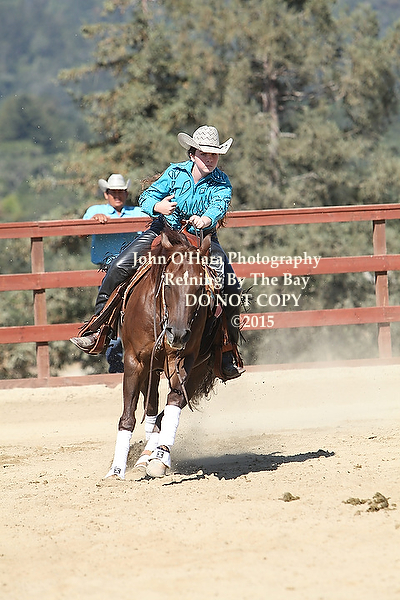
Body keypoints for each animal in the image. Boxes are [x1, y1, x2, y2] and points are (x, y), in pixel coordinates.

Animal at [105, 225, 223, 479]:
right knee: (151, 408)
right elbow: (128, 417)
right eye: (168, 285)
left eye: (200, 288)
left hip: (195, 369)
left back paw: (149, 457)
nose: (177, 334)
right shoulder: (134, 362)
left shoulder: (184, 361)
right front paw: (116, 471)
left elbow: (173, 404)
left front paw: (160, 459)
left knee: (162, 412)